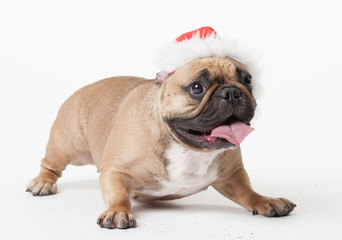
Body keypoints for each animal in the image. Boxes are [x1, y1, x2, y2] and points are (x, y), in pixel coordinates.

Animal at [26, 27, 296, 229]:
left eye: (247, 80)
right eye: (196, 87)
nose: (231, 92)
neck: (186, 148)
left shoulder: (232, 174)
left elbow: (246, 191)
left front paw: (265, 200)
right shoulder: (115, 170)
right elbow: (117, 194)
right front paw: (117, 211)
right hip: (68, 145)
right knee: (50, 163)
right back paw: (43, 183)